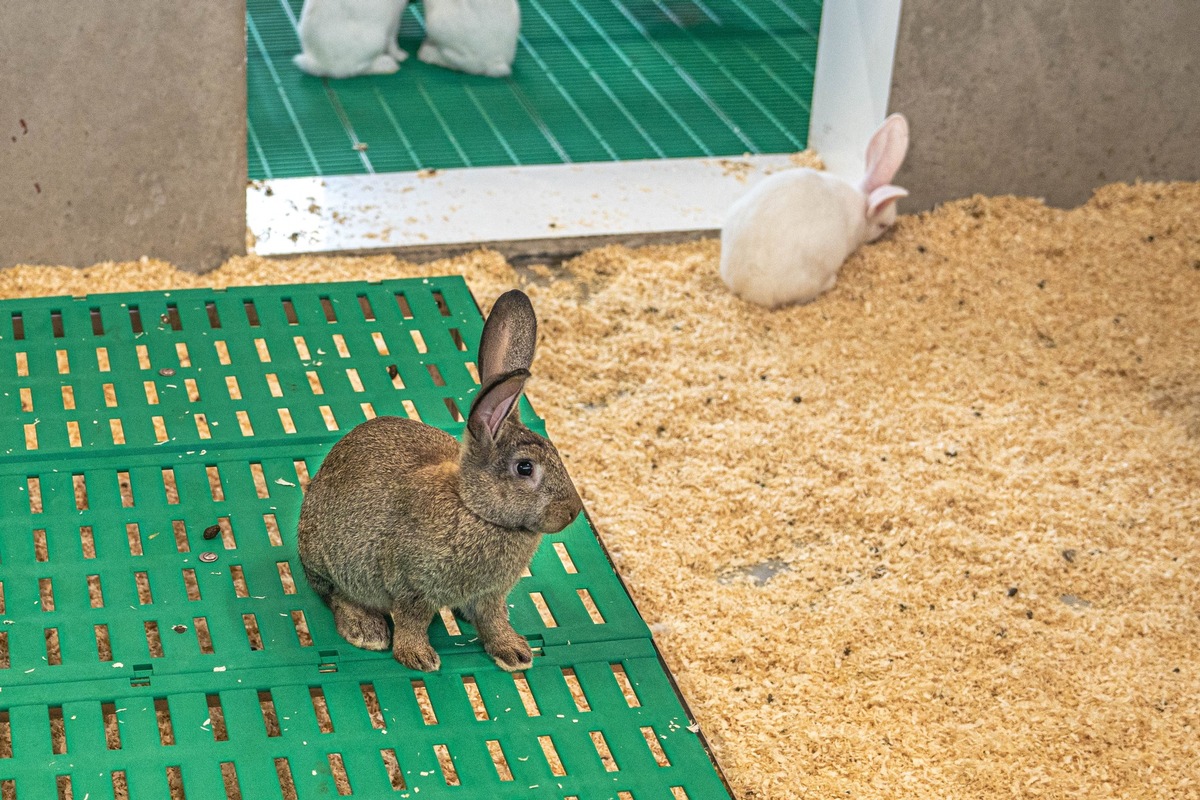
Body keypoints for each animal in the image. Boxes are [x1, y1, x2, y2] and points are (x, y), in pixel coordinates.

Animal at [297, 291, 583, 671]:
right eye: (525, 468)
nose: (573, 511)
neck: (473, 508)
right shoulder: (411, 586)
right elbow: (412, 621)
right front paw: (417, 657)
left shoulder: (490, 595)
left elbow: (494, 620)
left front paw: (514, 652)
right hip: (332, 562)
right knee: (335, 594)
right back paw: (366, 629)